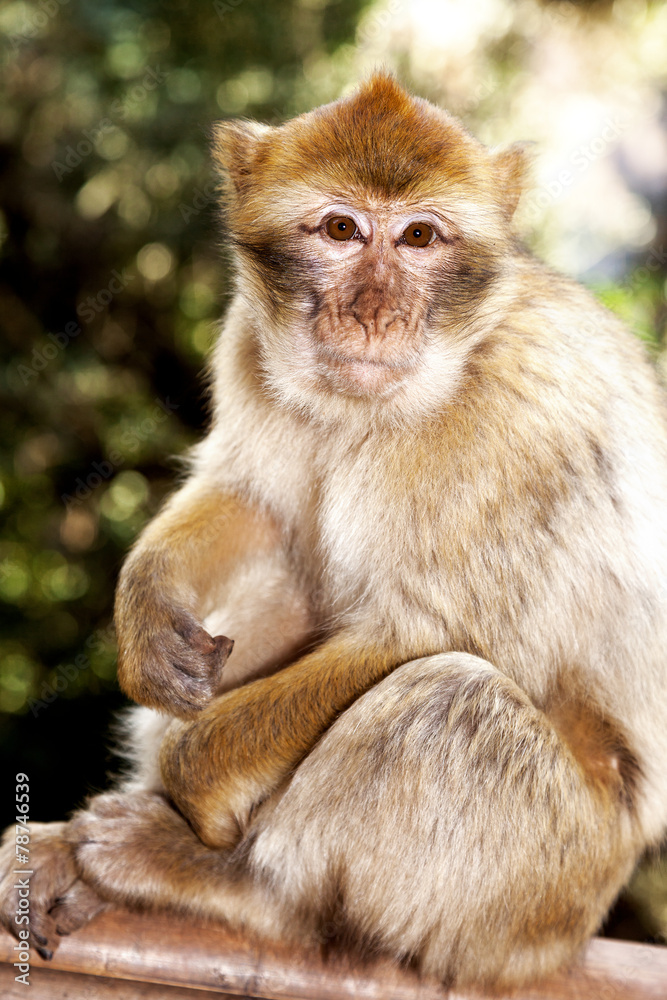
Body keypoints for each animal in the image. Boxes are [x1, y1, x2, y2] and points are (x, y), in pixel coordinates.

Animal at [1, 74, 667, 988]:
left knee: (448, 700)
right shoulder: (246, 339)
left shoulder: (517, 415)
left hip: (536, 898)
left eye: (419, 236)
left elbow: (413, 634)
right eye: (341, 229)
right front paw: (144, 611)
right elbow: (254, 500)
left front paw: (191, 786)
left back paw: (227, 881)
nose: (373, 313)